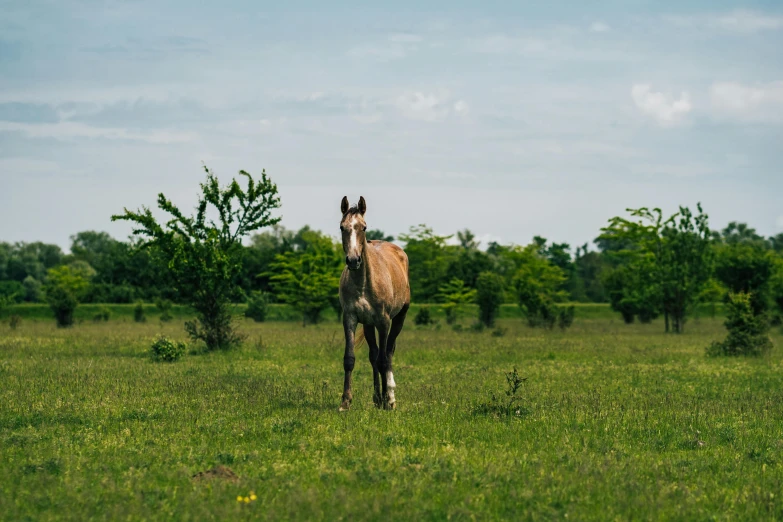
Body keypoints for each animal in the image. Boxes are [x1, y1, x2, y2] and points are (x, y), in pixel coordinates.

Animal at [336, 195, 410, 410]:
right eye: (342, 227)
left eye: (364, 227)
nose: (353, 260)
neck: (363, 282)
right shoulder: (350, 318)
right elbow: (350, 359)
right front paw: (345, 401)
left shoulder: (383, 321)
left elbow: (384, 360)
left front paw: (388, 400)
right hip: (369, 324)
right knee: (373, 355)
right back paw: (377, 397)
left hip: (399, 318)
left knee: (388, 352)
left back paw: (389, 397)